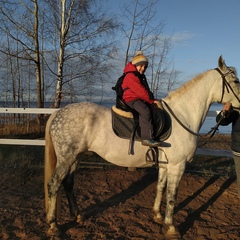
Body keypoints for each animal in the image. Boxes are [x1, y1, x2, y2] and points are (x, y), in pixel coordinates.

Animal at [44, 55, 239, 237]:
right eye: (236, 81)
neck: (182, 115)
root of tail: (58, 113)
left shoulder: (166, 166)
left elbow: (161, 188)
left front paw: (158, 216)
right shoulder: (177, 166)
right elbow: (172, 196)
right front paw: (171, 227)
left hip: (75, 158)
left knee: (68, 184)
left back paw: (77, 216)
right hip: (66, 158)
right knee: (54, 184)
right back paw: (53, 225)